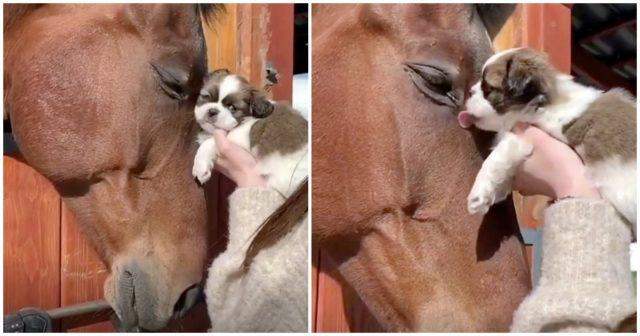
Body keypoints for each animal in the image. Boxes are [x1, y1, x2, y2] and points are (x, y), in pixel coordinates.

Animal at [460, 47, 636, 230]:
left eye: (488, 88)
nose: (469, 92)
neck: (544, 104)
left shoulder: (525, 138)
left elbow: (495, 159)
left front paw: (479, 193)